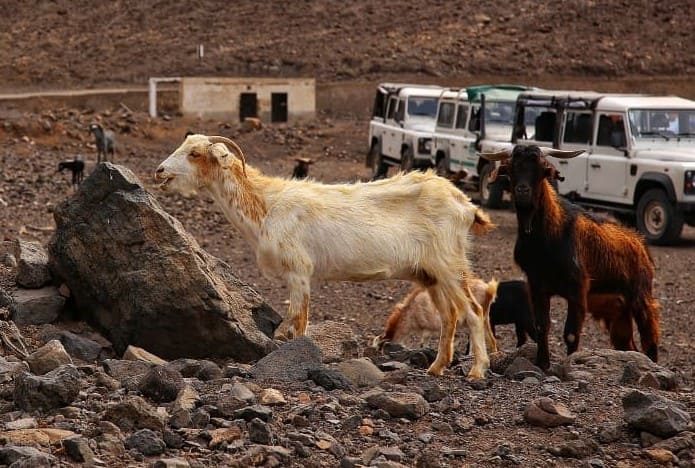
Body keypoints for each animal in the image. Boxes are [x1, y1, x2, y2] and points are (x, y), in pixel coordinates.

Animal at [478, 144, 664, 372]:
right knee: (626, 344)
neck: (547, 237)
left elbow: (571, 334)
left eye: (542, 169)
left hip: (641, 297)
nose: (522, 190)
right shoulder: (536, 286)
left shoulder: (578, 289)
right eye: (511, 169)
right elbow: (541, 326)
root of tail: (640, 244)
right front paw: (542, 363)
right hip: (616, 309)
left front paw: (570, 364)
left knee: (650, 337)